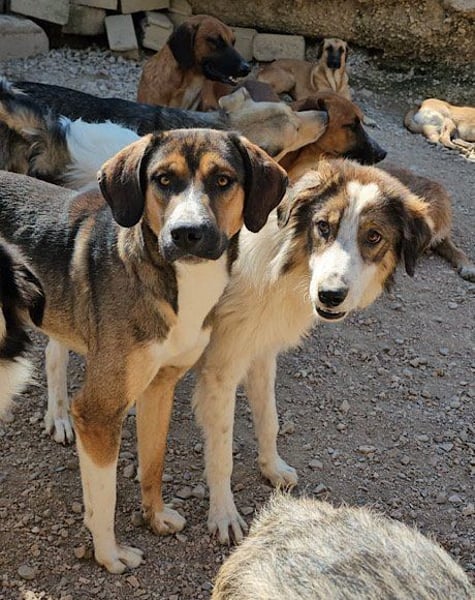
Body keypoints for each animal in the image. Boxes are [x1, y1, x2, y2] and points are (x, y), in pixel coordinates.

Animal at [0, 129, 288, 572]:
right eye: (163, 179)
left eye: (223, 180)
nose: (187, 232)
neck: (180, 283)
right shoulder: (100, 413)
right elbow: (104, 497)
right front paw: (109, 554)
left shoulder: (160, 388)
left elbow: (154, 462)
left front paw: (155, 517)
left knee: (53, 354)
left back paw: (58, 417)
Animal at [192, 160, 435, 544]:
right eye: (323, 226)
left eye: (373, 236)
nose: (330, 296)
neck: (286, 268)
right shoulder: (221, 370)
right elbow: (221, 452)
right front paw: (223, 513)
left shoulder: (260, 352)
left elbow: (270, 420)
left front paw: (272, 467)